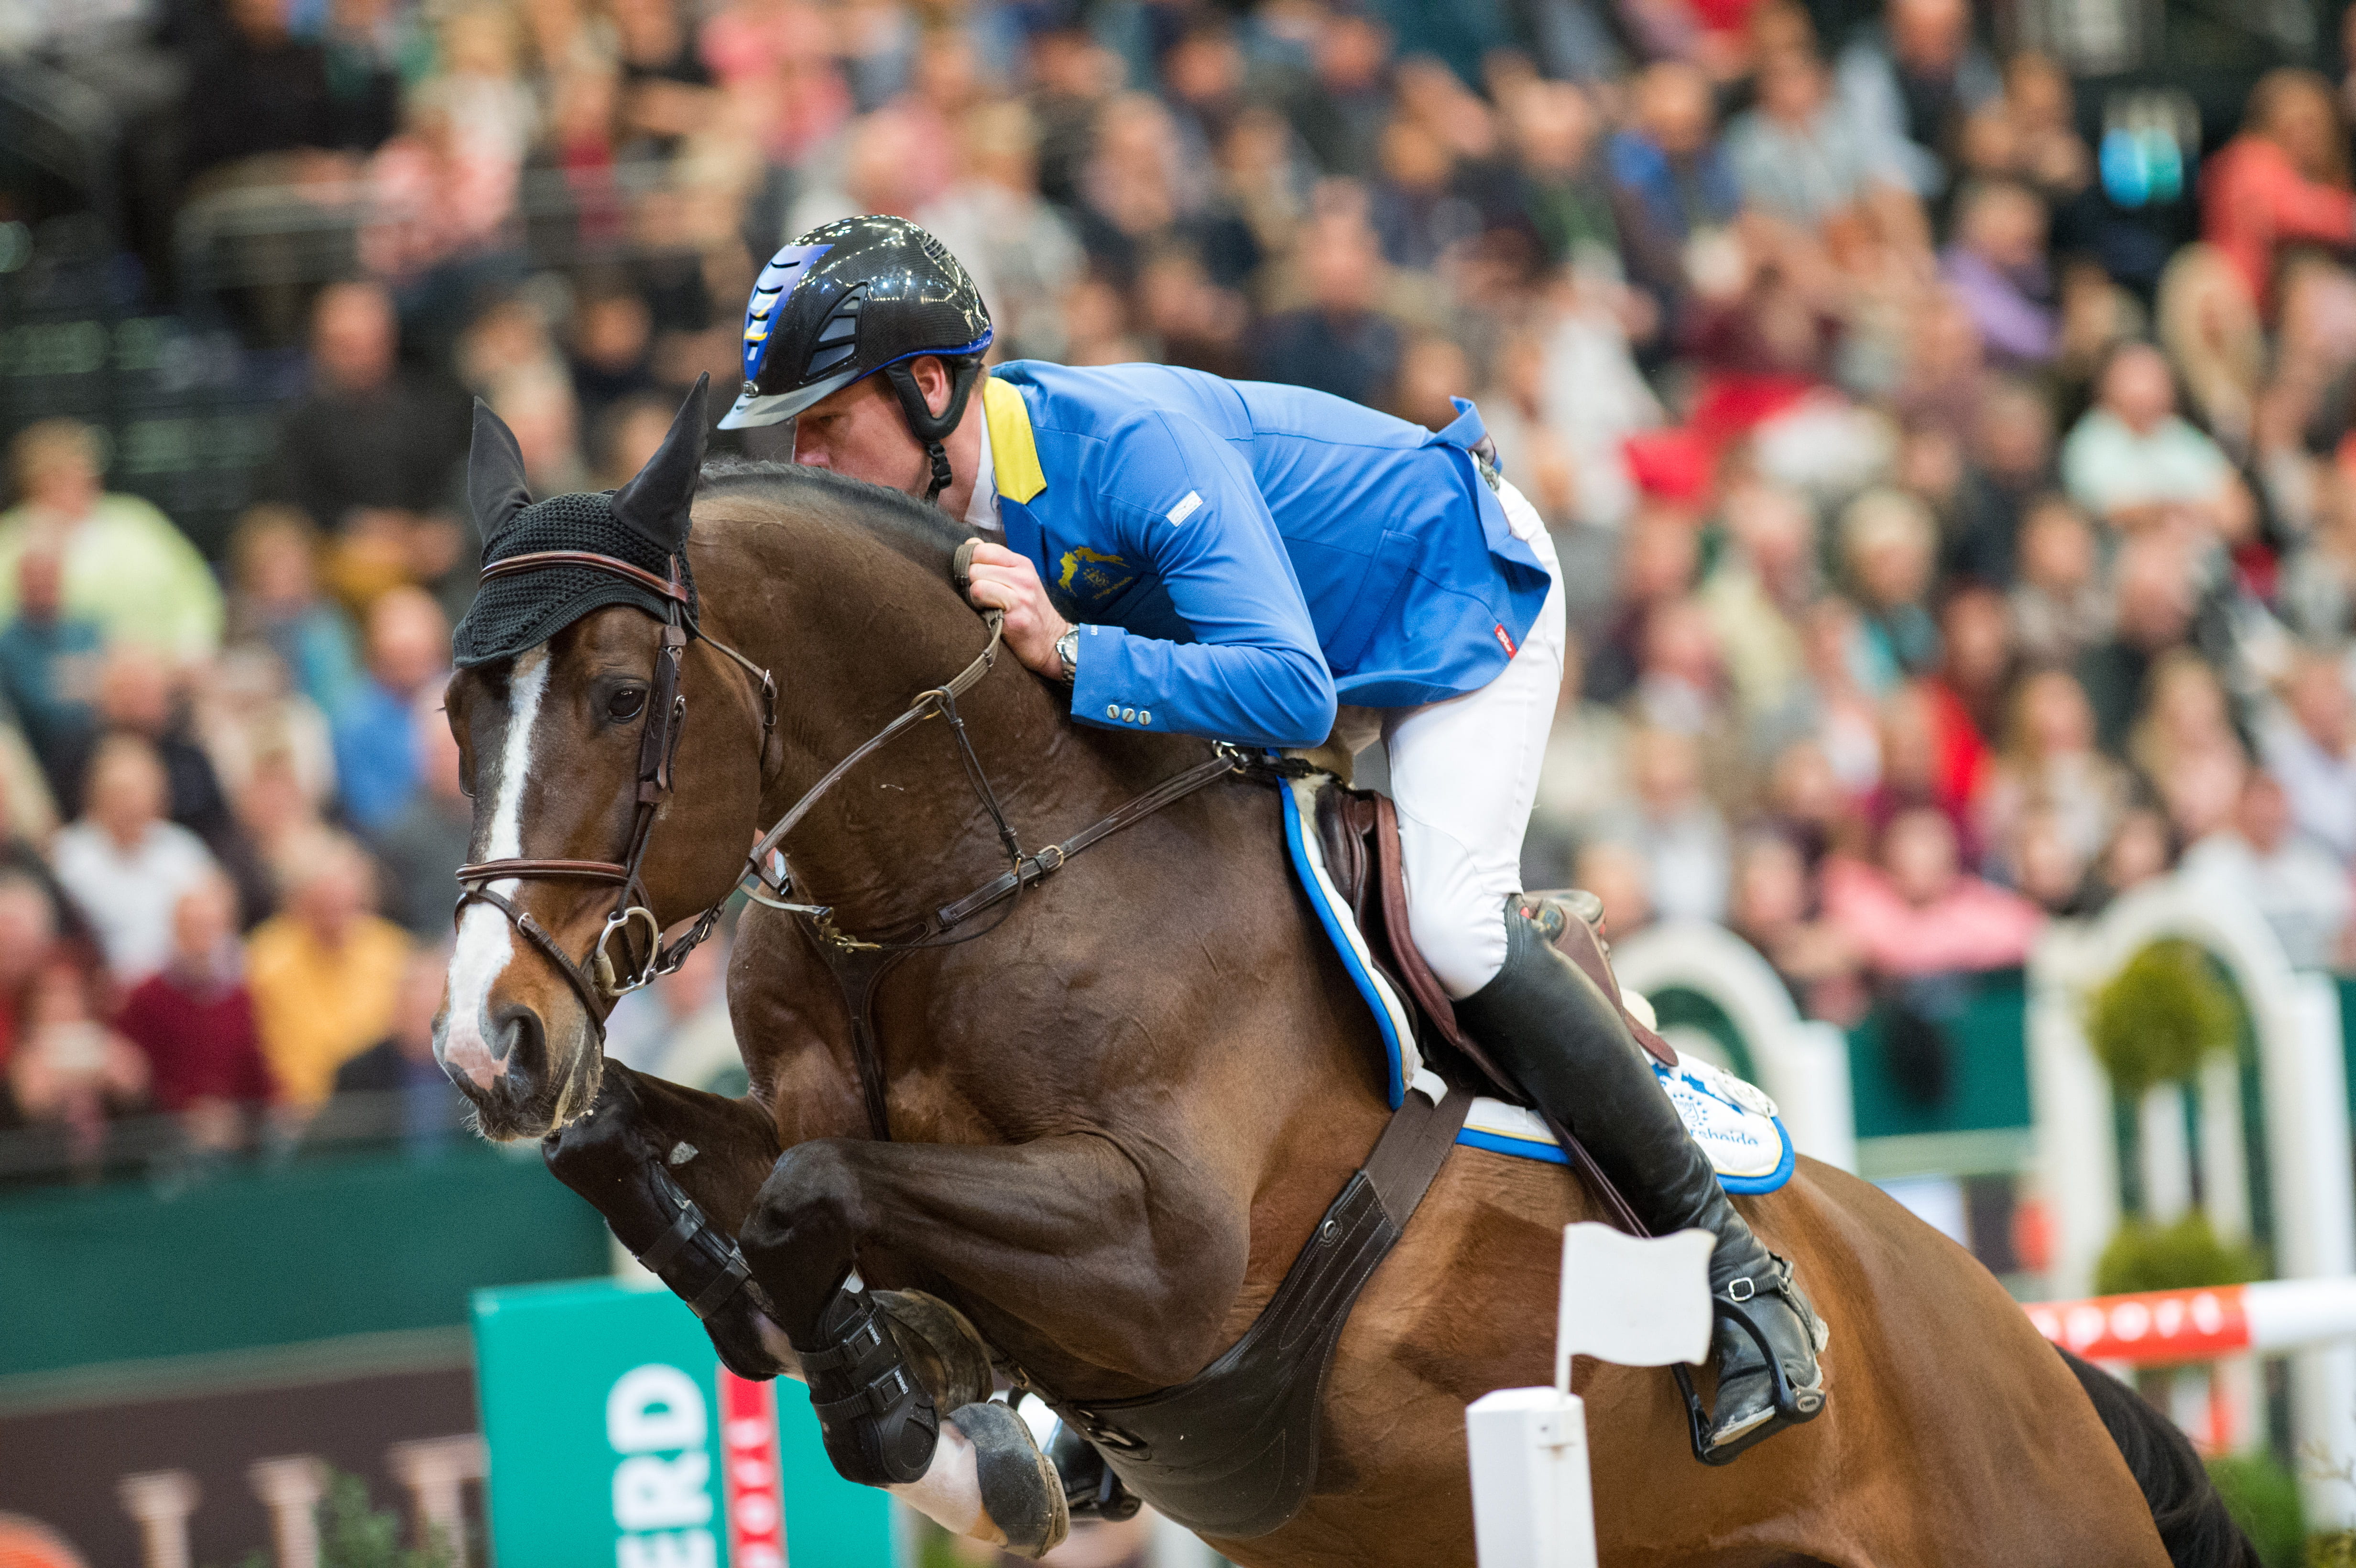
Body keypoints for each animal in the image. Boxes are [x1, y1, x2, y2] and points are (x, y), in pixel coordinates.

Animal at [434, 417, 2242, 1566]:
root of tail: (2036, 1362)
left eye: (617, 694)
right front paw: (889, 1382)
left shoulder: (1164, 1256)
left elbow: (815, 1186)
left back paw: (1750, 1323)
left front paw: (893, 1396)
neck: (951, 881)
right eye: (458, 708)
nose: (479, 1044)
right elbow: (649, 1152)